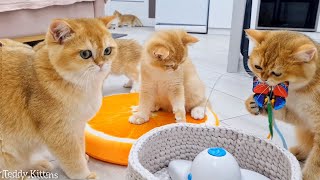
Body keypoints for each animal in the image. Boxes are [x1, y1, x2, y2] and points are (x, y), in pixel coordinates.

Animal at [0, 16, 115, 179]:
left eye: (107, 51)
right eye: (85, 54)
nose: (102, 64)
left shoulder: (77, 127)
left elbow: (80, 147)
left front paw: (83, 157)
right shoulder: (59, 132)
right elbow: (73, 159)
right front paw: (84, 175)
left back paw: (36, 165)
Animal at [245, 28, 320, 179]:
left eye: (277, 73)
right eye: (258, 67)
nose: (263, 79)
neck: (300, 93)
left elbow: (315, 163)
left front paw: (306, 177)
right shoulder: (302, 117)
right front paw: (253, 103)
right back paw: (299, 152)